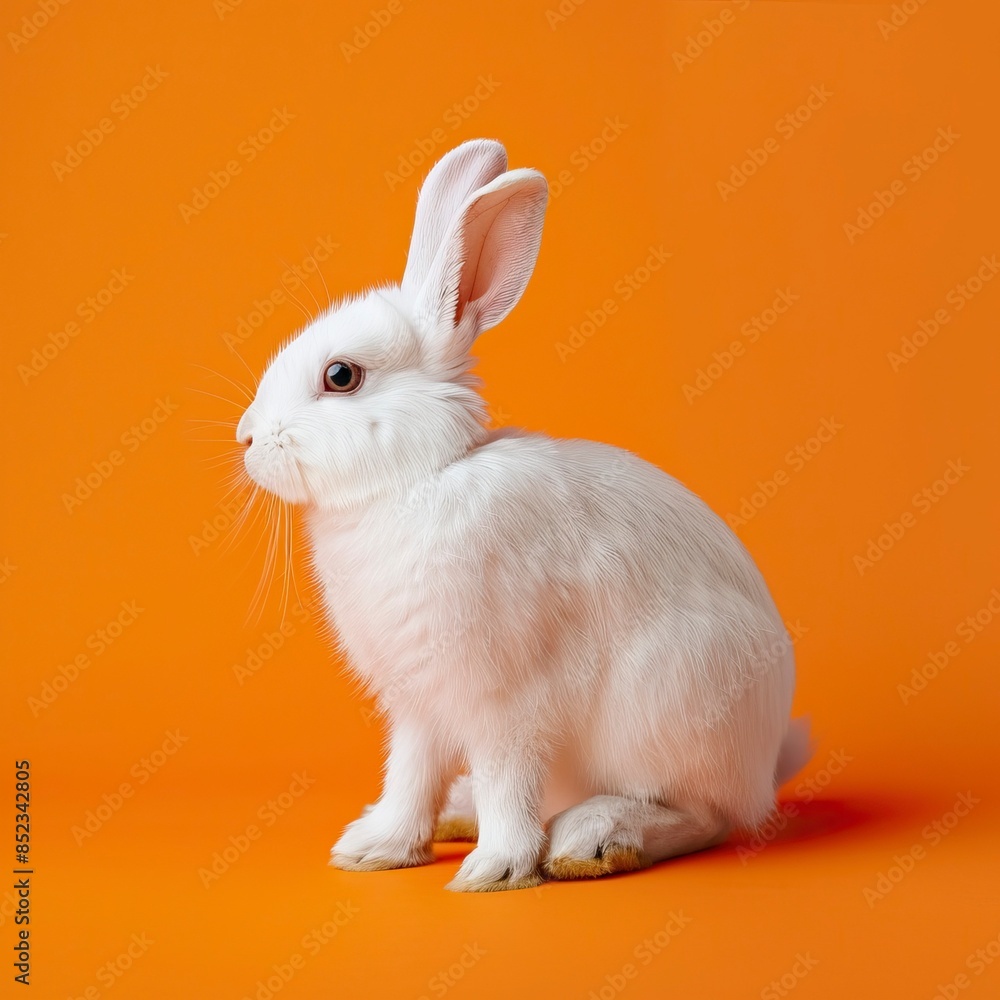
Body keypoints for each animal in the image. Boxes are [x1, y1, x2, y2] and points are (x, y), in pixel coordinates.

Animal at [235, 138, 813, 892]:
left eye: (341, 377)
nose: (246, 439)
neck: (420, 478)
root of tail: (766, 763)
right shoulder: (419, 703)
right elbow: (410, 775)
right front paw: (376, 849)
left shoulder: (505, 699)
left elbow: (509, 777)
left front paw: (495, 870)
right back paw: (464, 812)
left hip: (671, 705)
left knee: (702, 816)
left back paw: (592, 840)